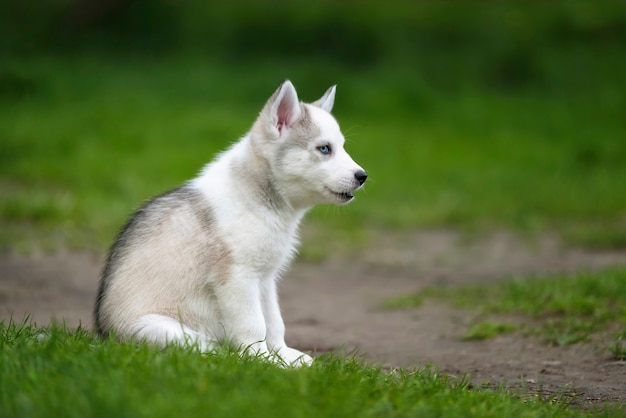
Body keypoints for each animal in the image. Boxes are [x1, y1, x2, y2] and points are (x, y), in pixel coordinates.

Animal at [93, 81, 366, 366]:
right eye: (324, 148)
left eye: (342, 146)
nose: (363, 176)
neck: (261, 199)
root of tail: (104, 338)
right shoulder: (238, 278)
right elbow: (254, 325)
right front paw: (263, 360)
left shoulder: (266, 279)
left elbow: (274, 322)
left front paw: (287, 358)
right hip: (159, 329)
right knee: (204, 349)